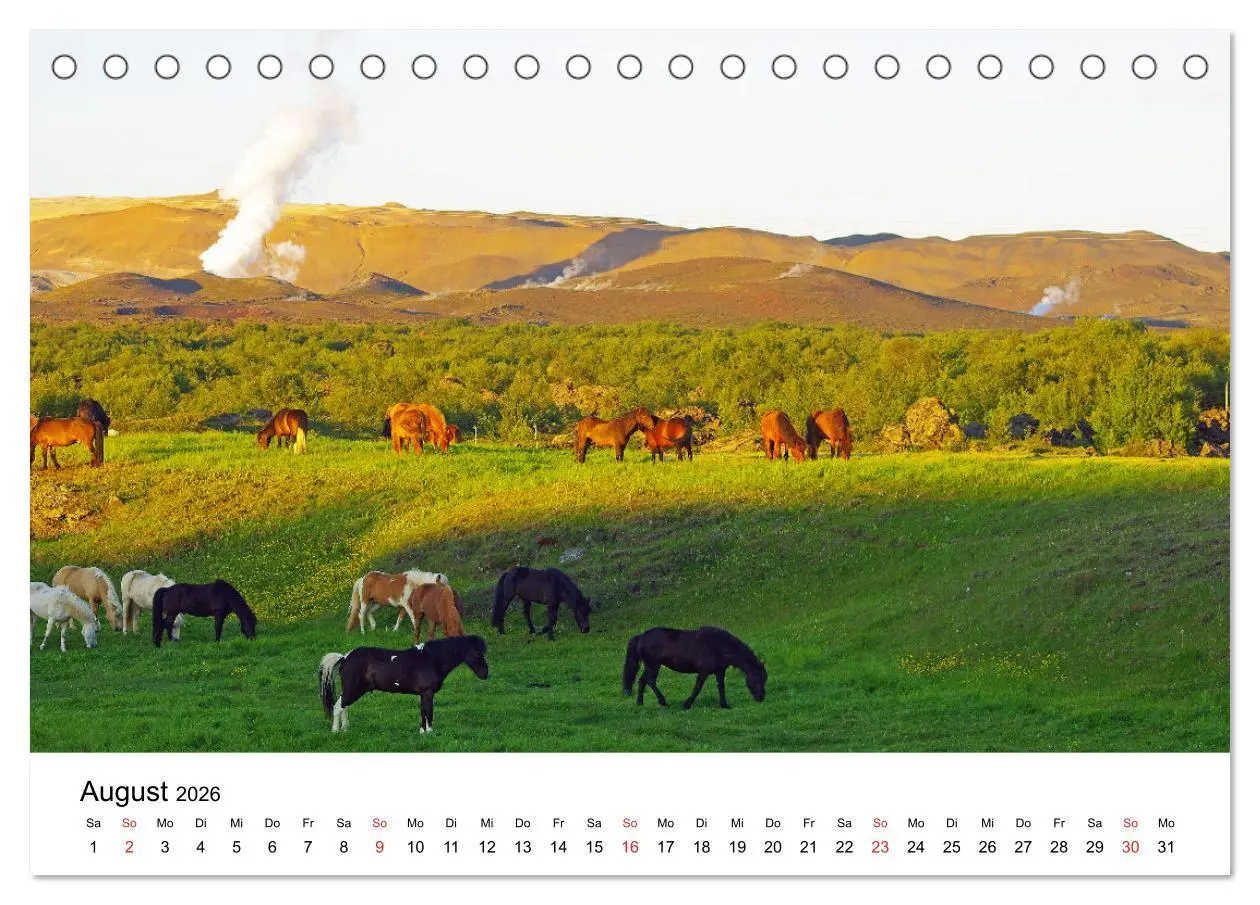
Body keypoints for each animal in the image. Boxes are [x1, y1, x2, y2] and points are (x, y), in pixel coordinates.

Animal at [319, 636, 489, 733]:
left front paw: (422, 732)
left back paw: (345, 729)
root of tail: (344, 658)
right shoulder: (427, 693)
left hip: (354, 690)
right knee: (338, 707)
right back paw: (336, 731)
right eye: (477, 652)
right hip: (353, 689)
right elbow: (428, 712)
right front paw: (430, 732)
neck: (431, 659)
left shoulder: (423, 694)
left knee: (344, 706)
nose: (485, 674)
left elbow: (423, 712)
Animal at [623, 626, 767, 709]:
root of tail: (641, 637)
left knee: (642, 681)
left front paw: (724, 705)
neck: (719, 645)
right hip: (653, 665)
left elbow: (721, 687)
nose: (761, 698)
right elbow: (697, 688)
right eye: (758, 678)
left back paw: (640, 703)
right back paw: (663, 702)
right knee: (650, 682)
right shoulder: (704, 671)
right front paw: (687, 705)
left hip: (650, 666)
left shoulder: (719, 671)